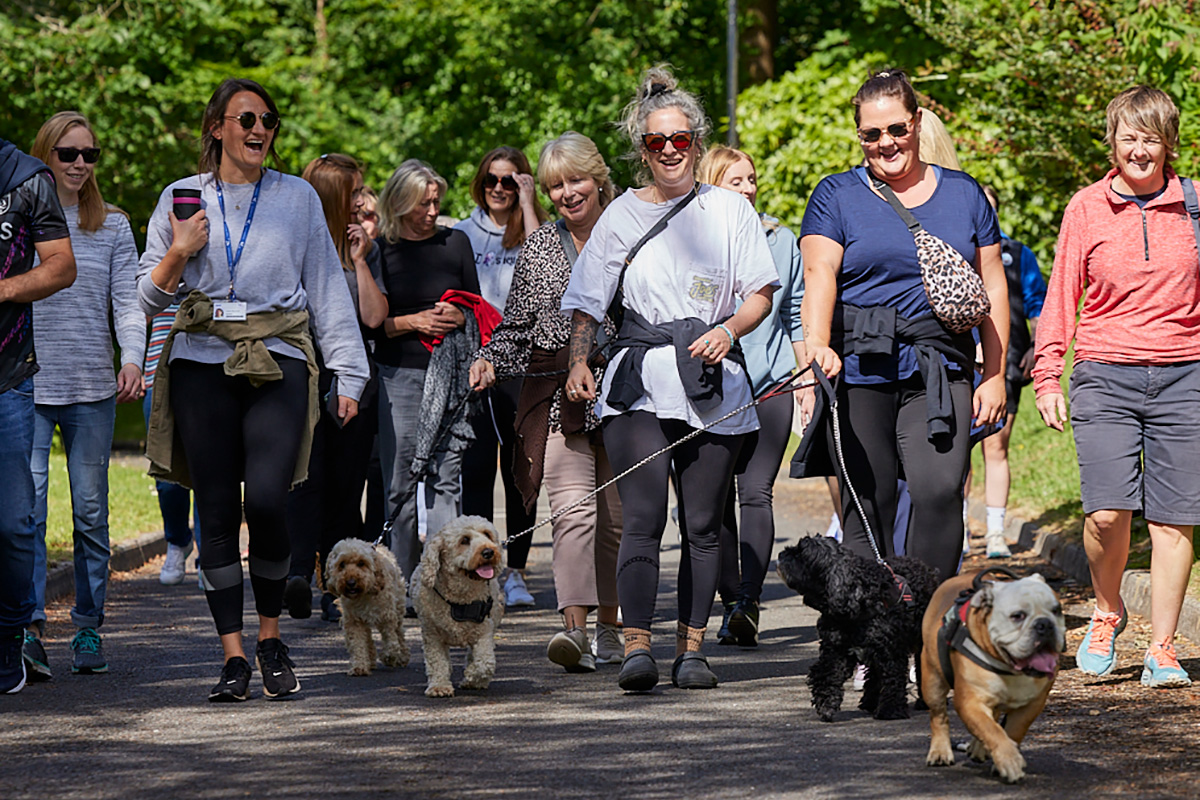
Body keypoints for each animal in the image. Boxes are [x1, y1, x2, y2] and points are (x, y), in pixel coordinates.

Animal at [326, 537, 410, 676]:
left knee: (399, 632)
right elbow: (358, 642)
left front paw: (389, 656)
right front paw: (359, 666)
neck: (364, 594)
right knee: (368, 638)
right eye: (342, 564)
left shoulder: (386, 615)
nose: (351, 582)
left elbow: (390, 637)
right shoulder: (354, 620)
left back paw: (402, 656)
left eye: (361, 563)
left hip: (398, 607)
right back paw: (370, 660)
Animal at [410, 515, 504, 695]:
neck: (461, 599)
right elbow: (437, 662)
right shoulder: (432, 636)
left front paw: (472, 675)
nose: (489, 551)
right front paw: (439, 686)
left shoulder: (484, 632)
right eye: (464, 540)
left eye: (487, 534)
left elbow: (486, 662)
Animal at [777, 534, 936, 724]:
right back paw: (869, 701)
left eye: (802, 552)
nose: (780, 555)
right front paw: (826, 704)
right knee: (874, 675)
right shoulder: (836, 650)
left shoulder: (891, 652)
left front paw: (890, 711)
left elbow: (892, 680)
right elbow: (826, 674)